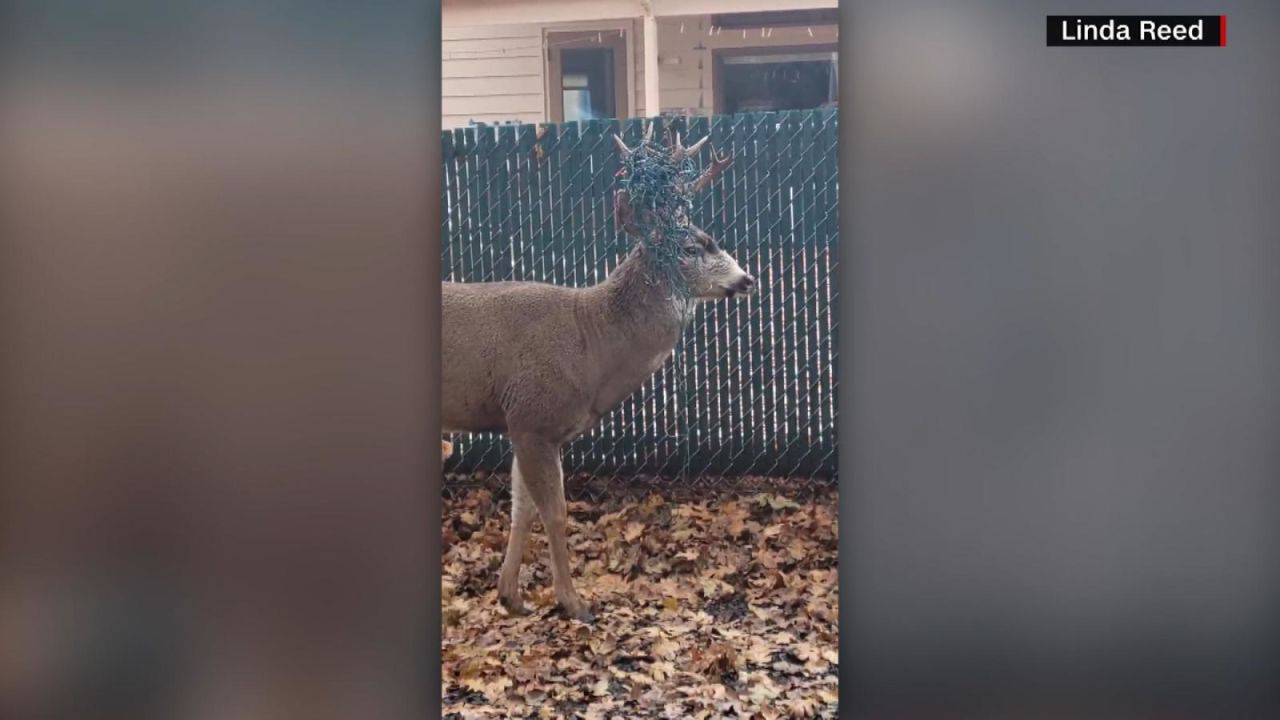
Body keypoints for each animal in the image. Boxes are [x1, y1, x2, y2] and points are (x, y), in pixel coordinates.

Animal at [445, 122, 752, 617]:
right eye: (690, 246)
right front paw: (573, 603)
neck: (590, 345)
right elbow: (555, 512)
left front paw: (511, 596)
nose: (747, 278)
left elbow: (520, 509)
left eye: (711, 237)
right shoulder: (532, 418)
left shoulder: (525, 426)